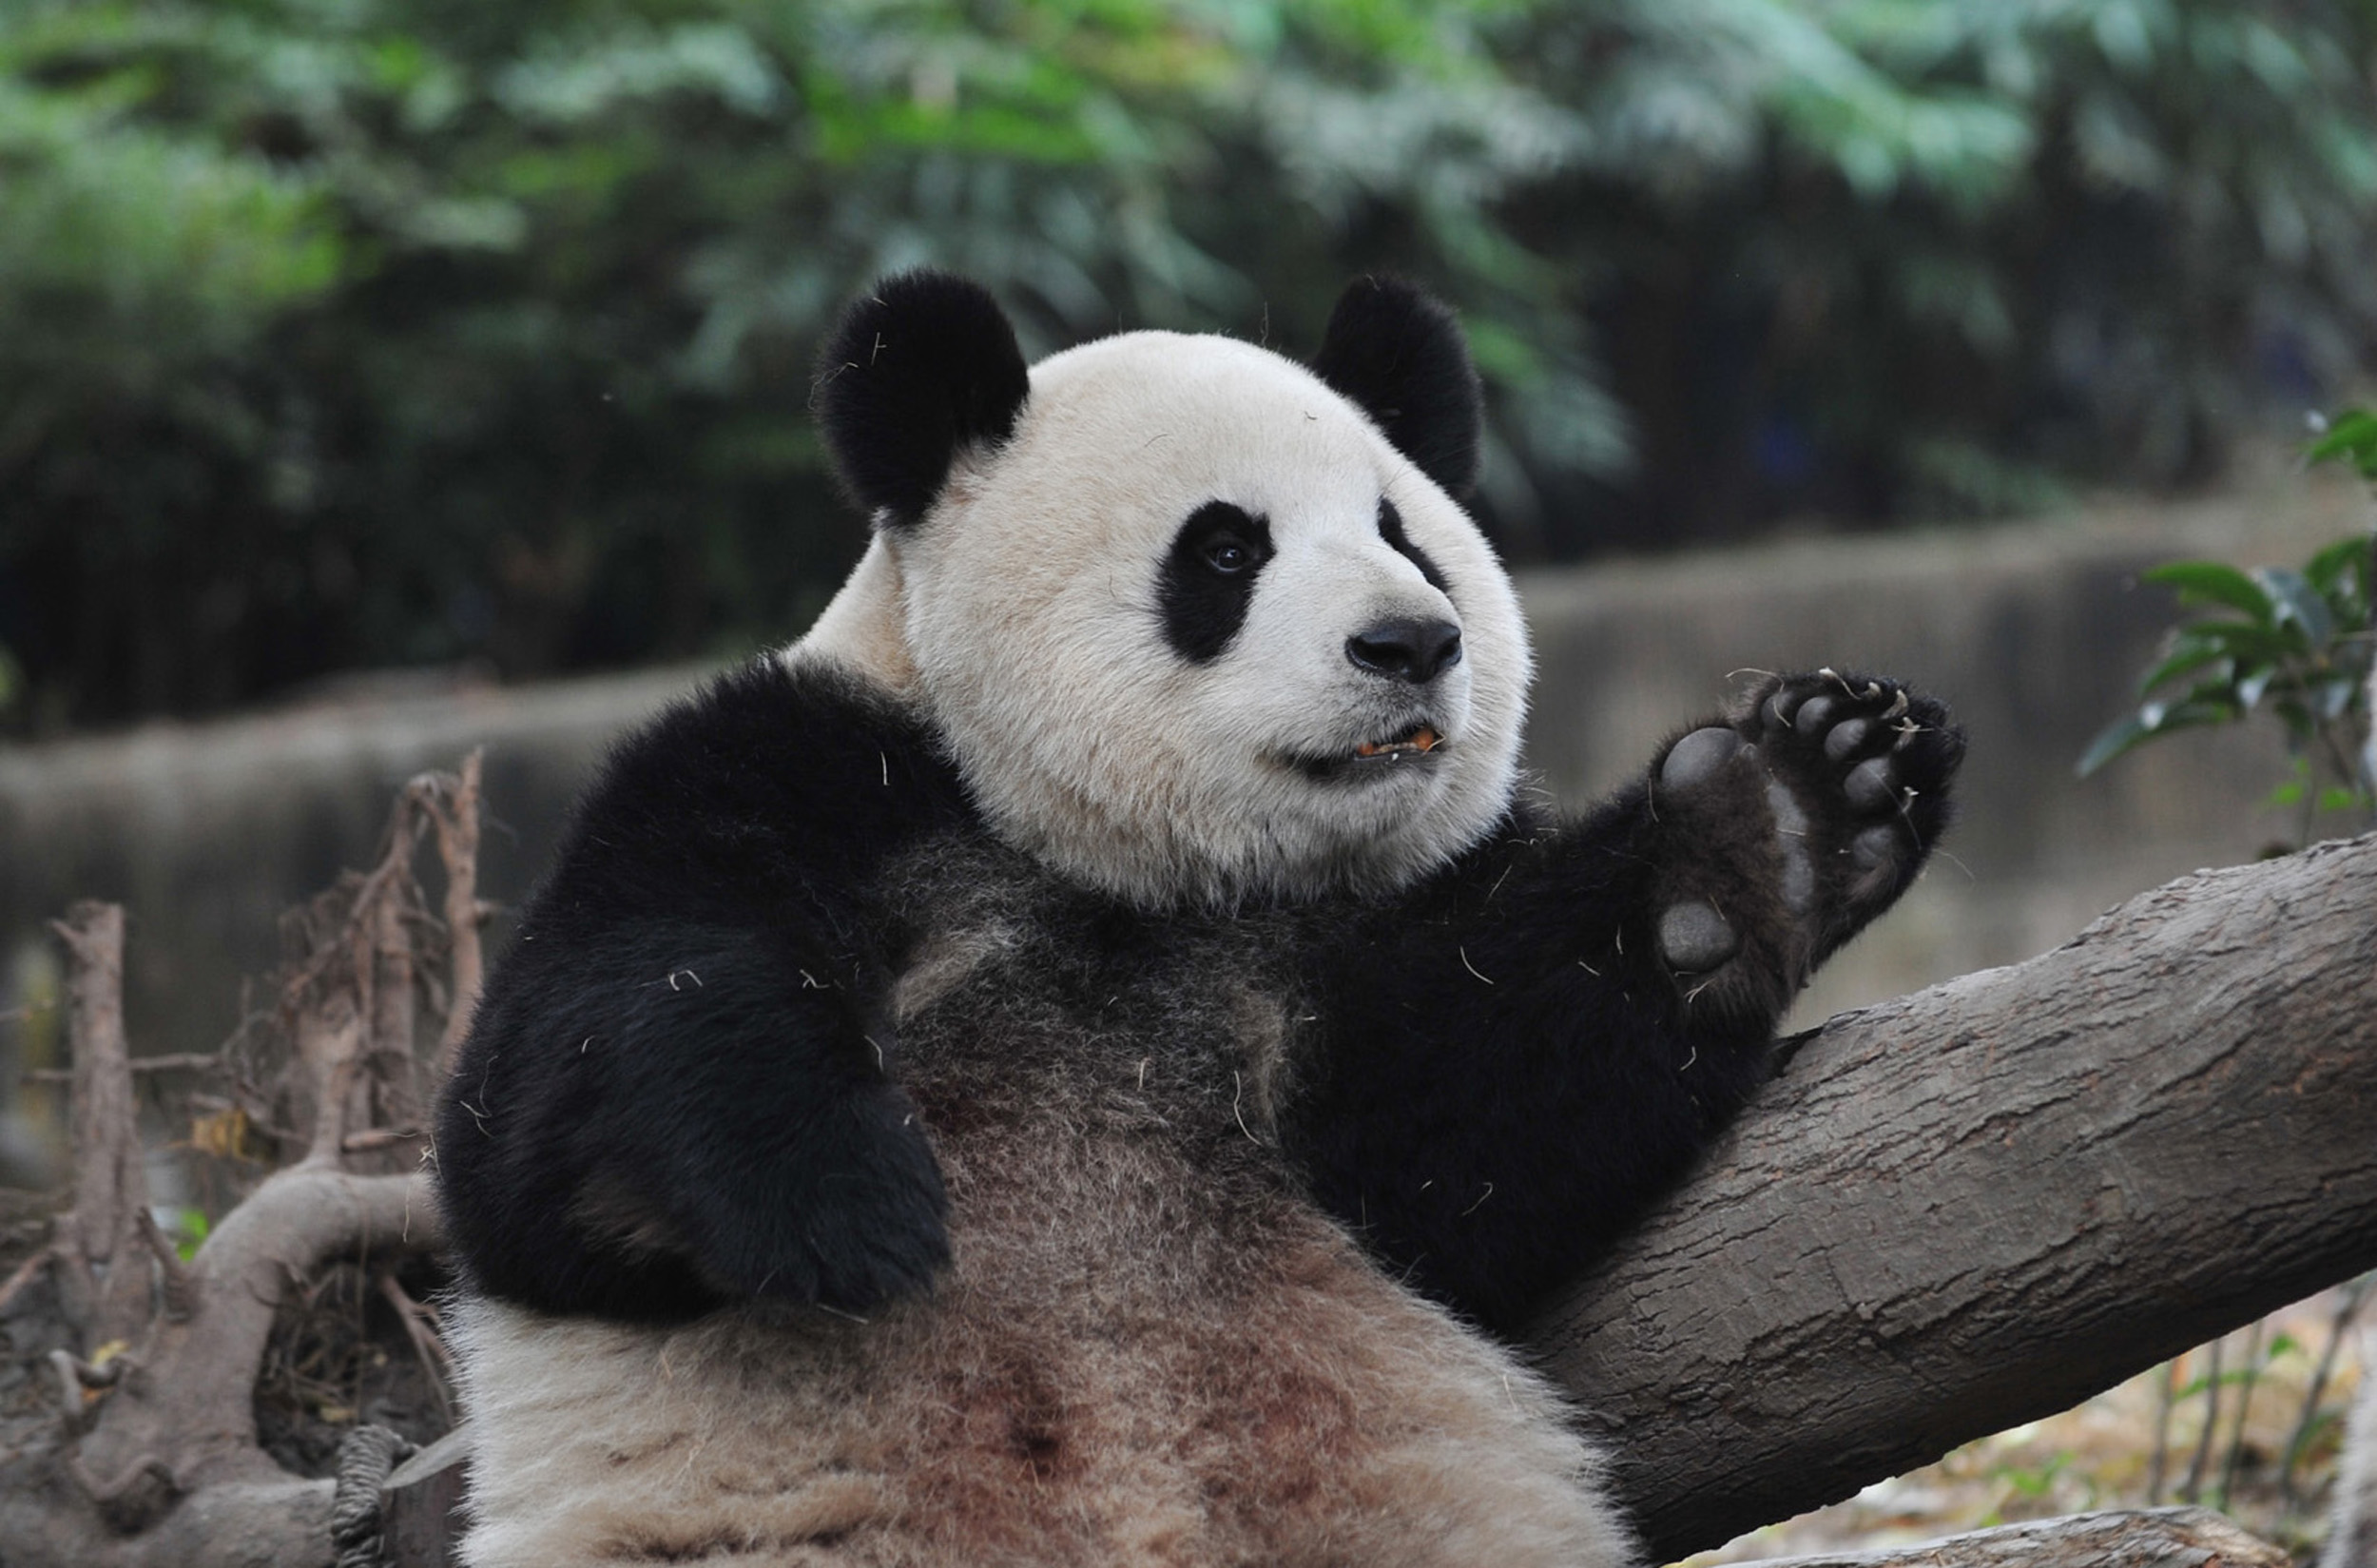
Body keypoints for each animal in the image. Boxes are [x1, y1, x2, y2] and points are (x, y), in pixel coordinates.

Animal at [433, 271, 1963, 1567]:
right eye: (1226, 550)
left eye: (1407, 536)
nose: (1413, 641)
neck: (1133, 878)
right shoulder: (812, 772)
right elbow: (567, 1090)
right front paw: (844, 1203)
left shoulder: (1350, 965)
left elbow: (1466, 1131)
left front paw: (1779, 819)